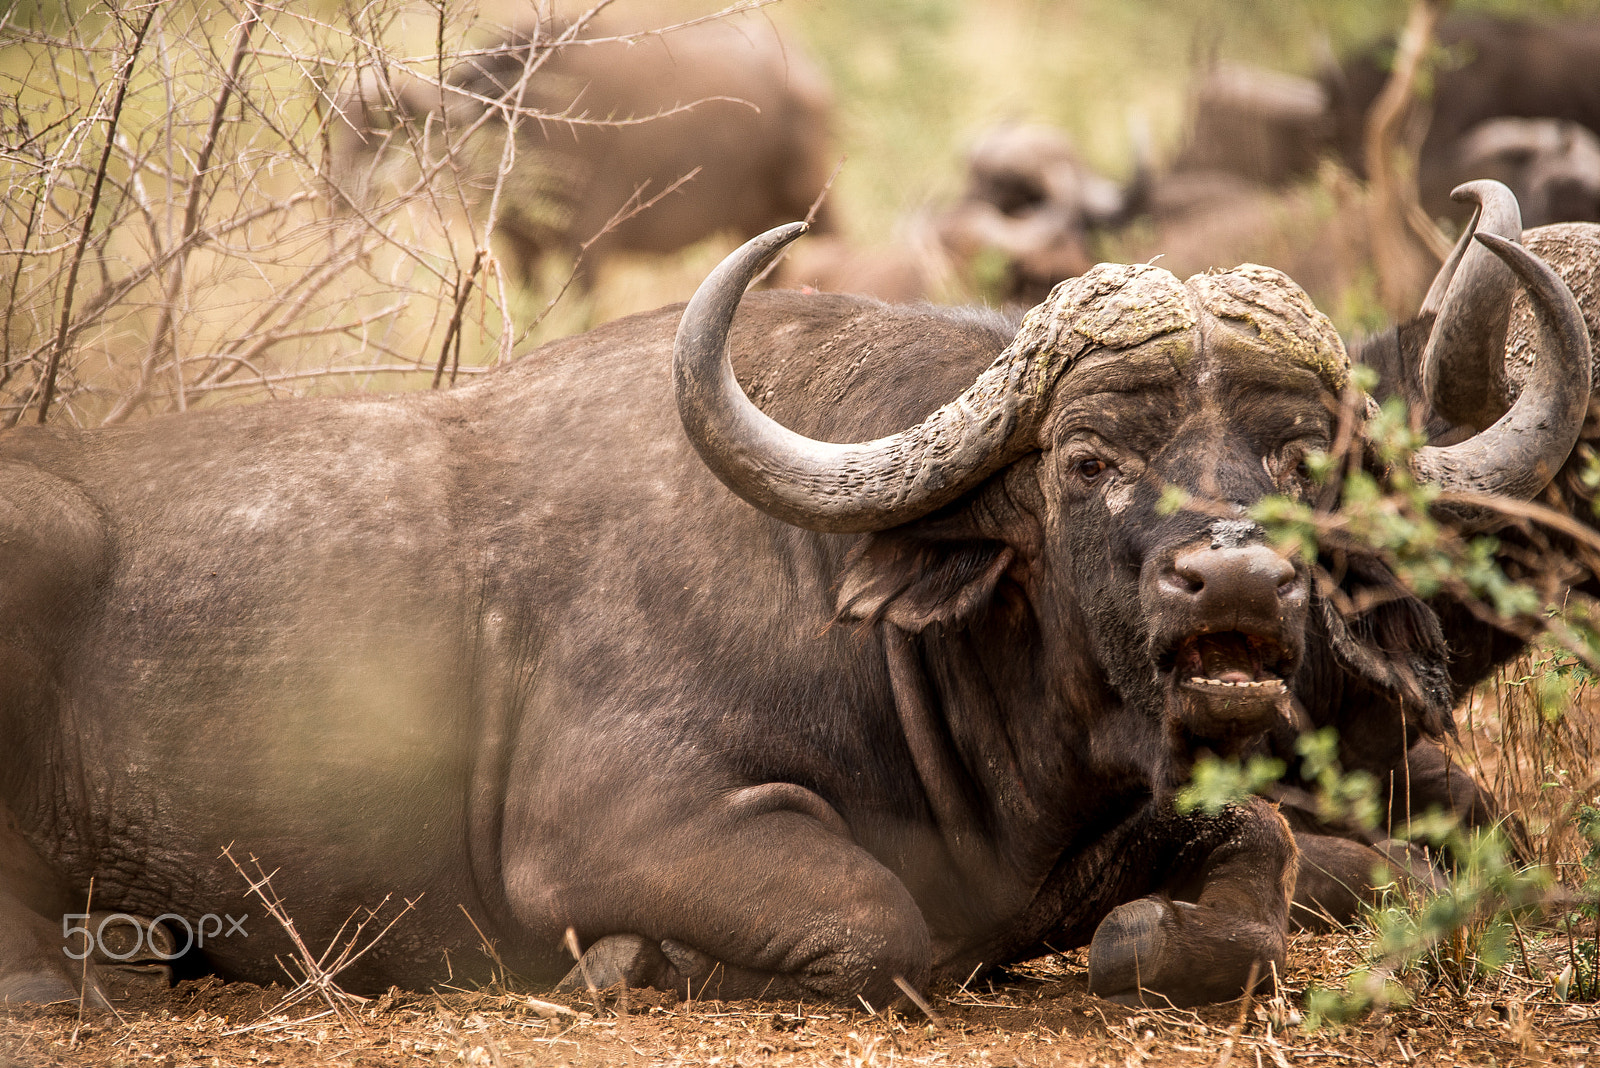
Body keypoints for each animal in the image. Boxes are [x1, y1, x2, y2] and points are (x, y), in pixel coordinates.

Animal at [0, 212, 1590, 1011]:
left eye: (1303, 458)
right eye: (1087, 458)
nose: (1240, 579)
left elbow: (1254, 872)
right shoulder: (611, 829)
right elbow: (873, 921)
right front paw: (645, 964)